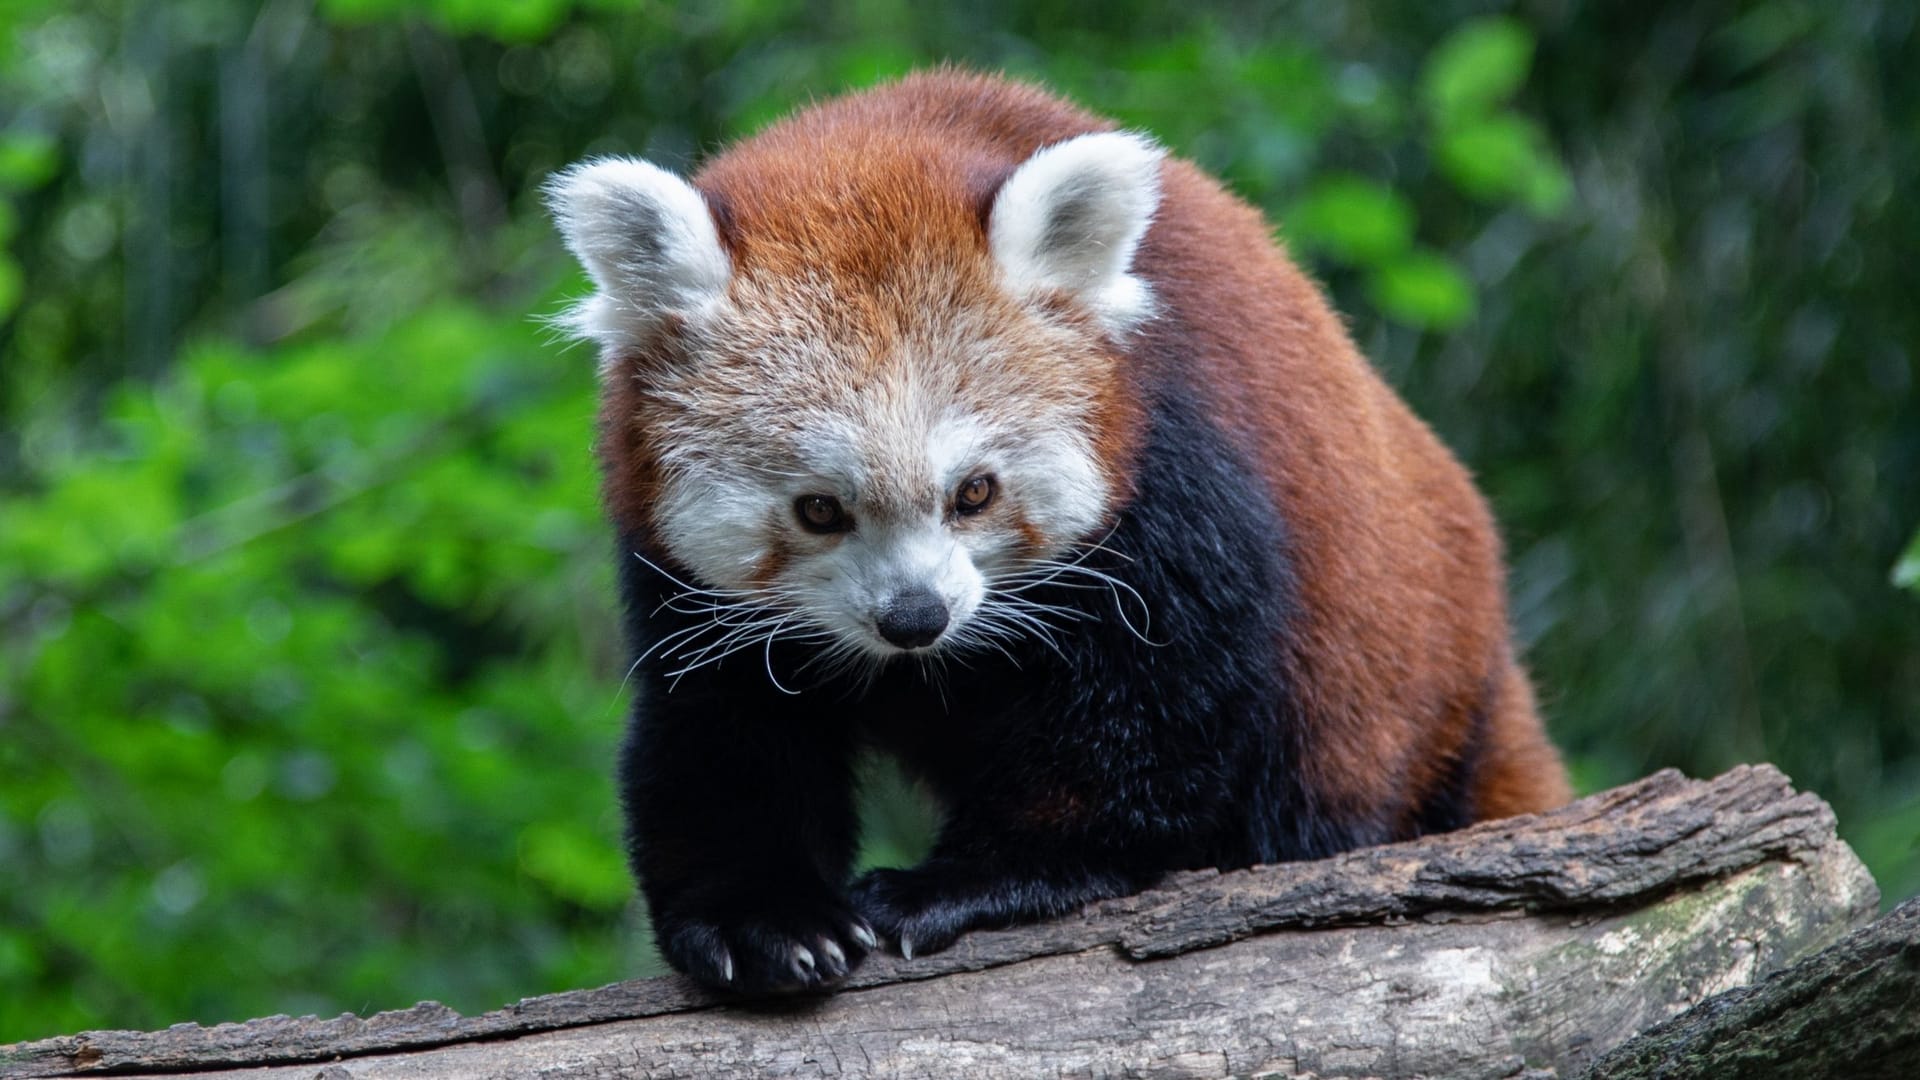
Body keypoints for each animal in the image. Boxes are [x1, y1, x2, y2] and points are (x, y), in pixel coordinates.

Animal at [549, 69, 1566, 991]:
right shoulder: (678, 576)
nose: (914, 618)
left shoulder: (1175, 473)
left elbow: (1149, 719)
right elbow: (722, 731)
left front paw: (969, 882)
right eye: (820, 509)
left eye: (974, 492)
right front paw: (764, 920)